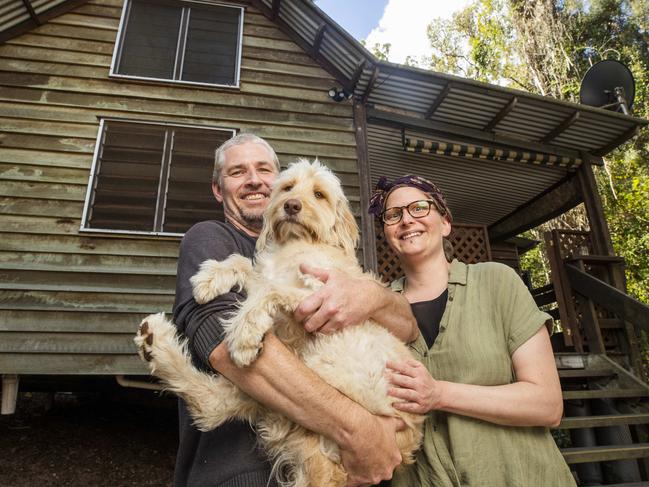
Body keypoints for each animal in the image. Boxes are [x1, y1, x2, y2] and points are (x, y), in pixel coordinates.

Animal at [134, 160, 422, 487]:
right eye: (287, 187)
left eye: (319, 194)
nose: (291, 205)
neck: (296, 243)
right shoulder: (272, 276)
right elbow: (245, 265)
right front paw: (210, 277)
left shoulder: (326, 294)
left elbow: (269, 290)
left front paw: (243, 335)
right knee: (212, 406)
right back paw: (153, 341)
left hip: (332, 358)